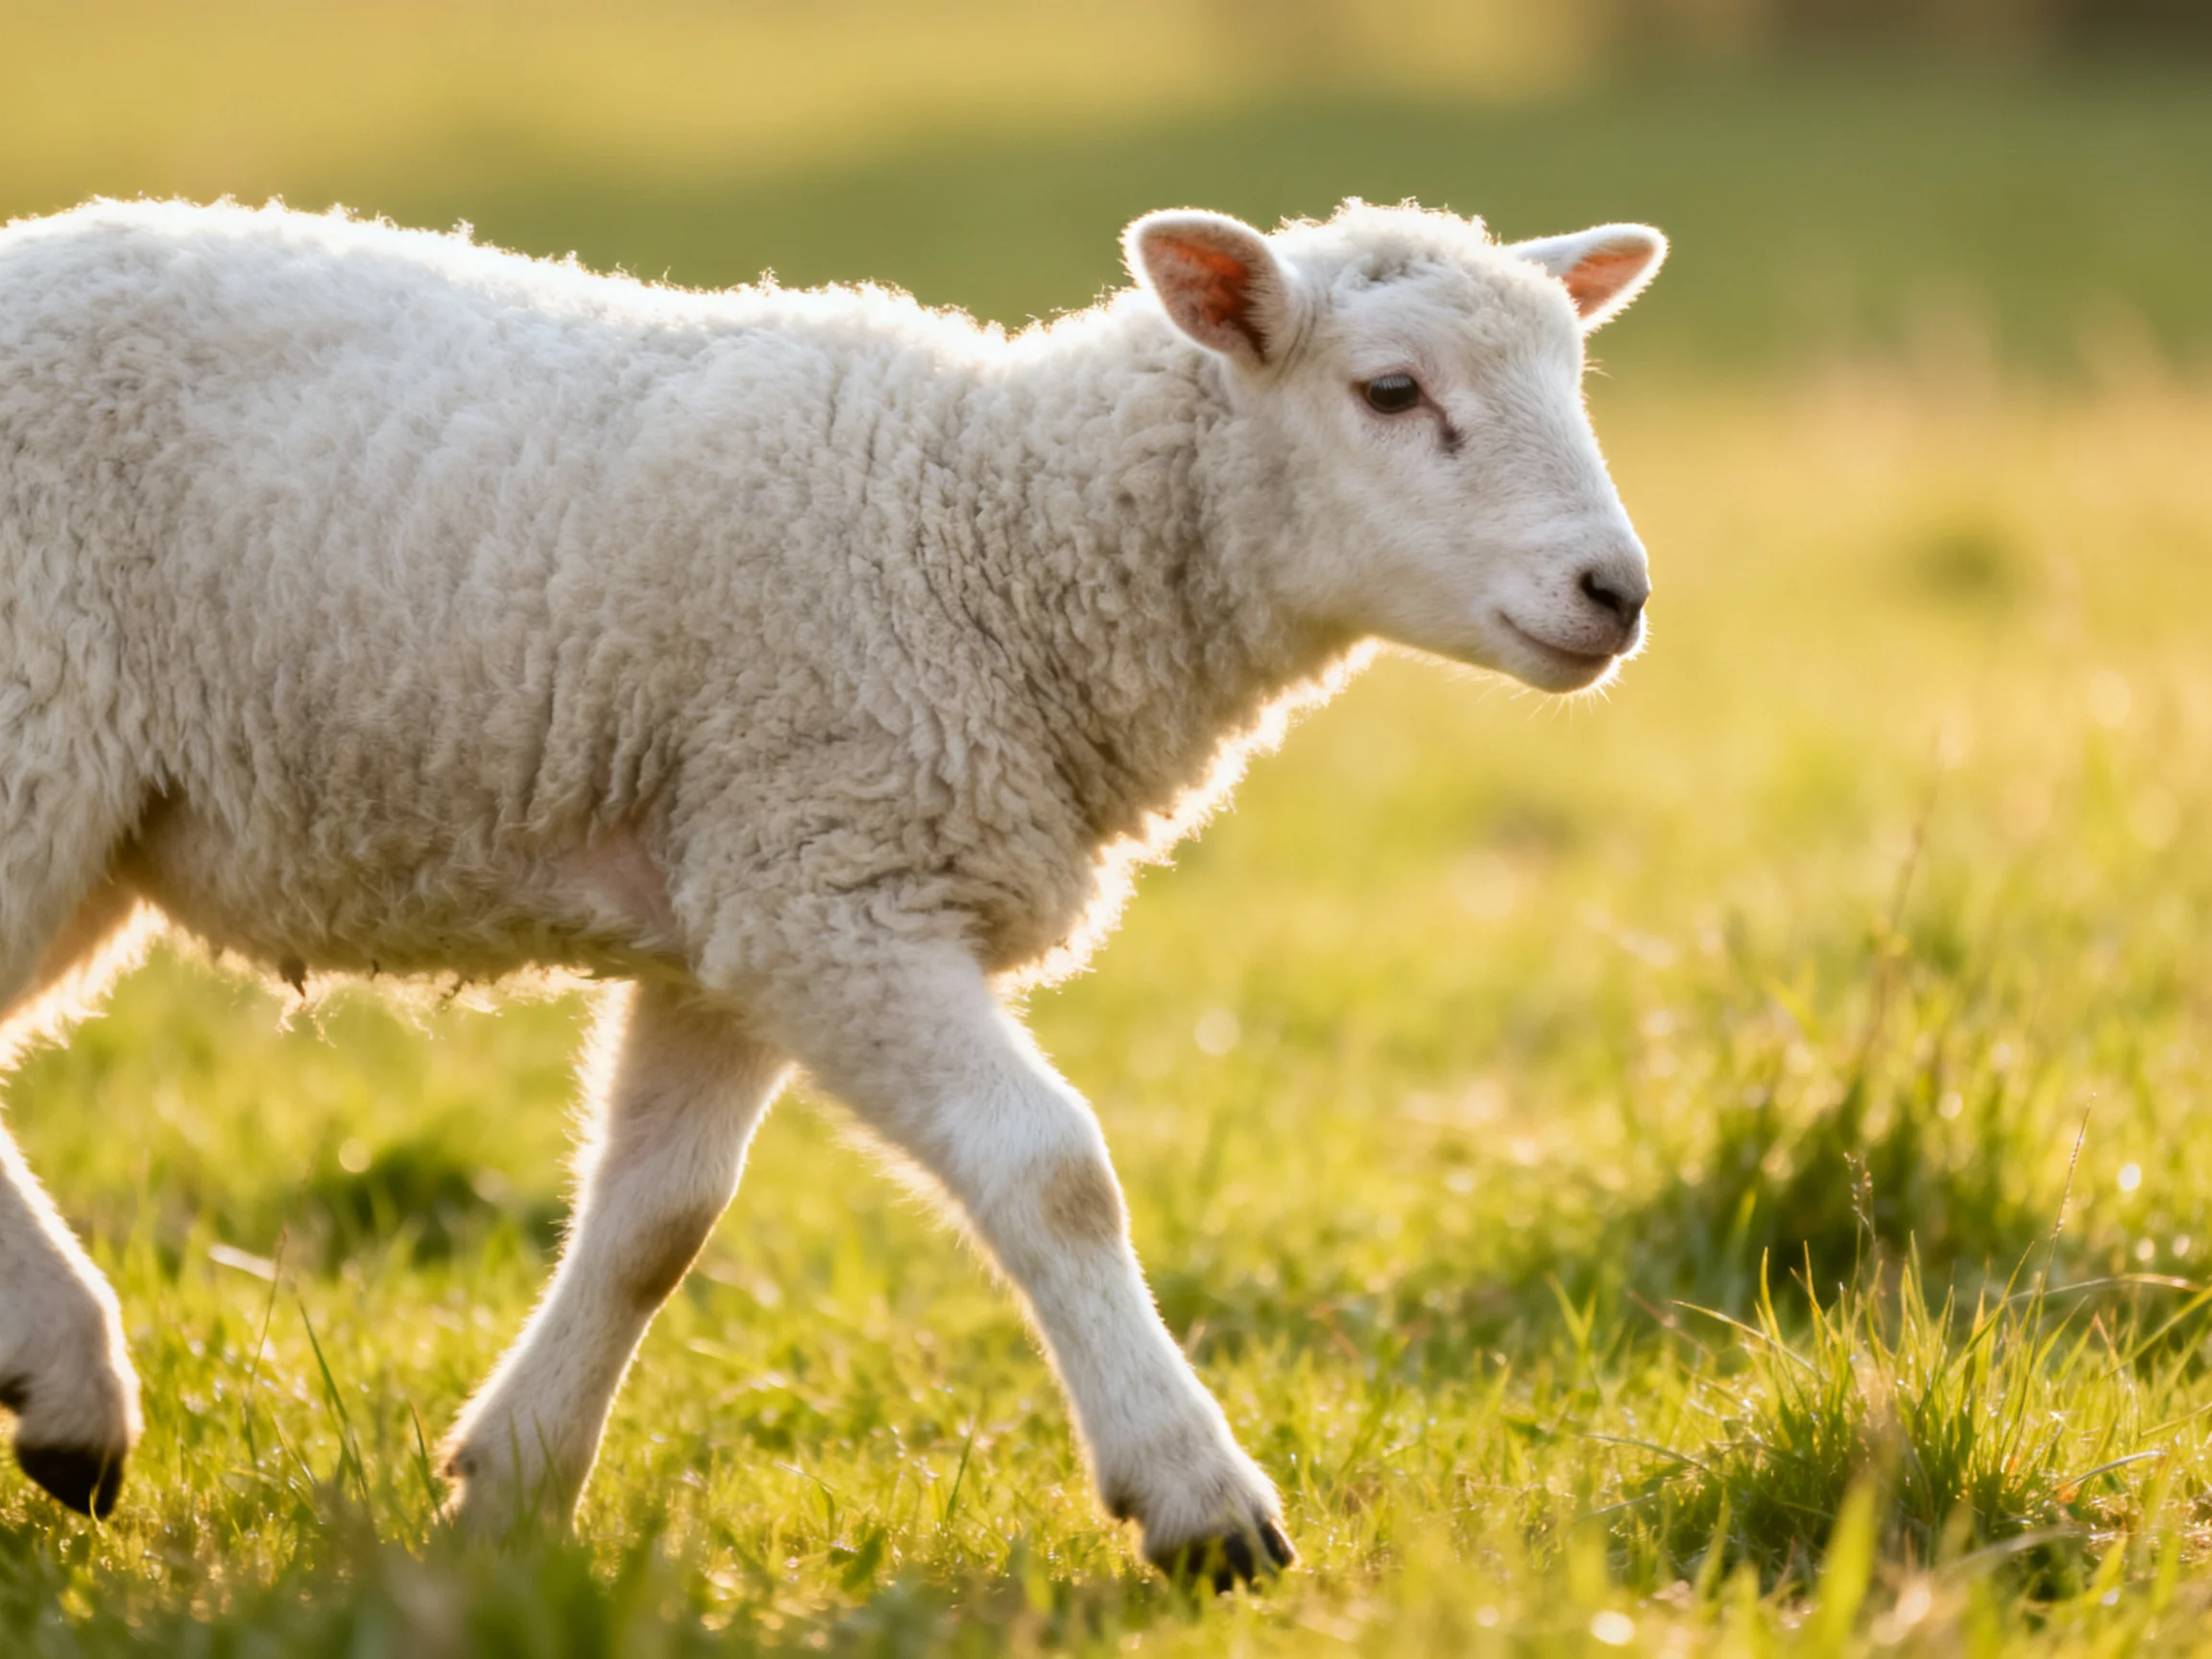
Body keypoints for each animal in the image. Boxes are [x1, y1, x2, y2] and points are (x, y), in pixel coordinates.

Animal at [0, 195, 1664, 1580]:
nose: (1618, 592)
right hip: (30, 752)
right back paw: (77, 1392)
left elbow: (656, 1218)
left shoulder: (733, 901)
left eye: (1577, 377)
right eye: (1390, 391)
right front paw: (1199, 1503)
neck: (985, 538)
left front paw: (513, 1485)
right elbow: (1054, 1172)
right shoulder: (835, 886)